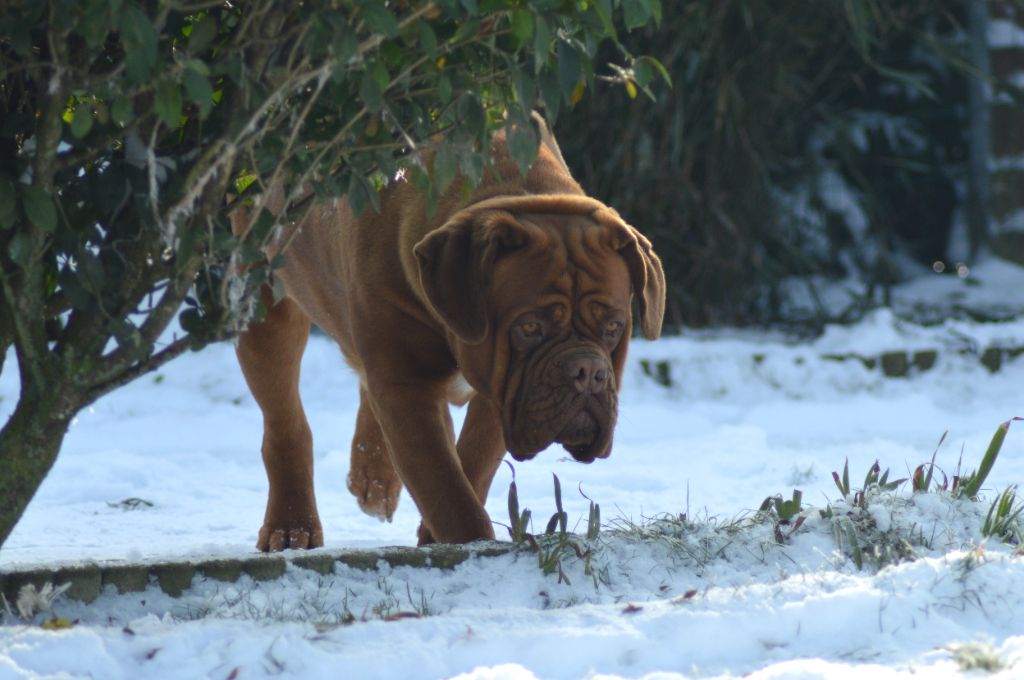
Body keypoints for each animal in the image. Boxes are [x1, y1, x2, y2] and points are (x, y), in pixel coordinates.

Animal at [231, 115, 663, 553]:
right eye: (530, 327)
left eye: (613, 327)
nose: (588, 371)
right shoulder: (409, 386)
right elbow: (443, 483)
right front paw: (468, 542)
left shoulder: (501, 393)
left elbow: (472, 464)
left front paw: (442, 540)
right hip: (263, 301)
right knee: (286, 422)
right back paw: (291, 524)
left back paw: (375, 478)